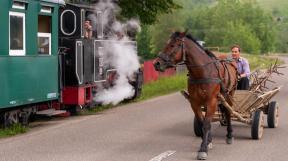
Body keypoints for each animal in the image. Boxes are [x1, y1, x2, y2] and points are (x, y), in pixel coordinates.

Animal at [154, 31, 237, 160]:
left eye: (173, 45)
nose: (157, 63)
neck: (202, 72)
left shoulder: (212, 101)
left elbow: (206, 124)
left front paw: (203, 149)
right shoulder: (195, 102)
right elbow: (202, 122)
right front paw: (208, 141)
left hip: (229, 94)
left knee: (228, 112)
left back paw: (229, 135)